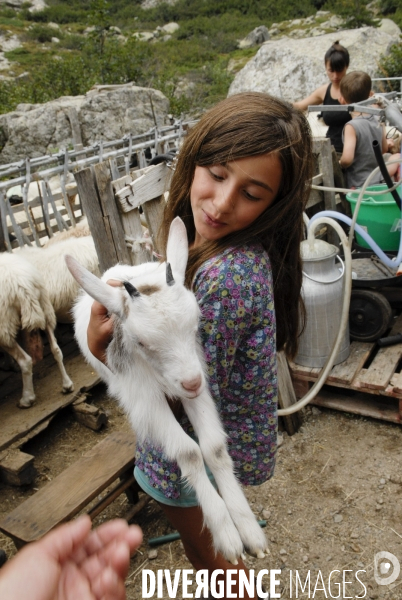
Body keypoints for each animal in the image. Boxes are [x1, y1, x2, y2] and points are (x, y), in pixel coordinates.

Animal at [0, 253, 74, 408]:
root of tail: (21, 284)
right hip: (45, 308)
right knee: (56, 349)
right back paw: (67, 384)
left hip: (4, 325)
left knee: (26, 360)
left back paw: (27, 398)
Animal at [66, 218, 268, 564]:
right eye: (141, 343)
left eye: (197, 322)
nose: (191, 383)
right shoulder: (143, 395)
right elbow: (188, 451)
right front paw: (227, 535)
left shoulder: (196, 372)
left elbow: (214, 447)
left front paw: (249, 530)